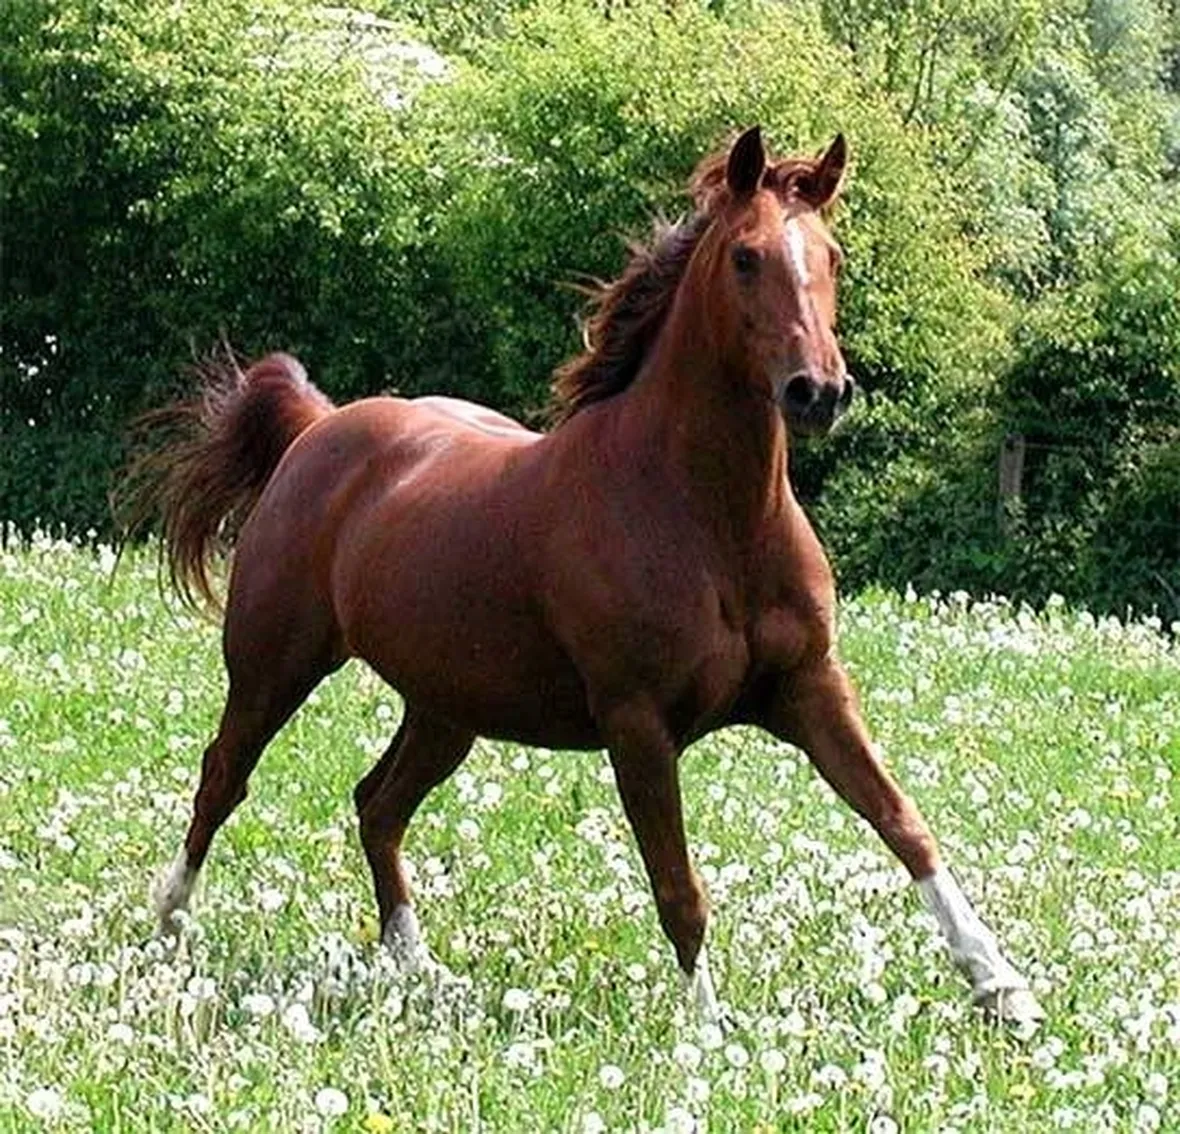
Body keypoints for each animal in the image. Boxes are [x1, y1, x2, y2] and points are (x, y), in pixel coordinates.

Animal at [130, 127, 1042, 1025]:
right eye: (746, 257)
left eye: (833, 255)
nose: (818, 392)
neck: (711, 521)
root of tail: (319, 428)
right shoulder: (637, 724)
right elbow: (680, 888)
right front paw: (707, 1032)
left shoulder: (811, 688)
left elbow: (904, 823)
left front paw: (1002, 986)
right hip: (274, 667)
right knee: (223, 777)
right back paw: (169, 930)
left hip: (447, 708)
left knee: (377, 804)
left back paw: (419, 968)